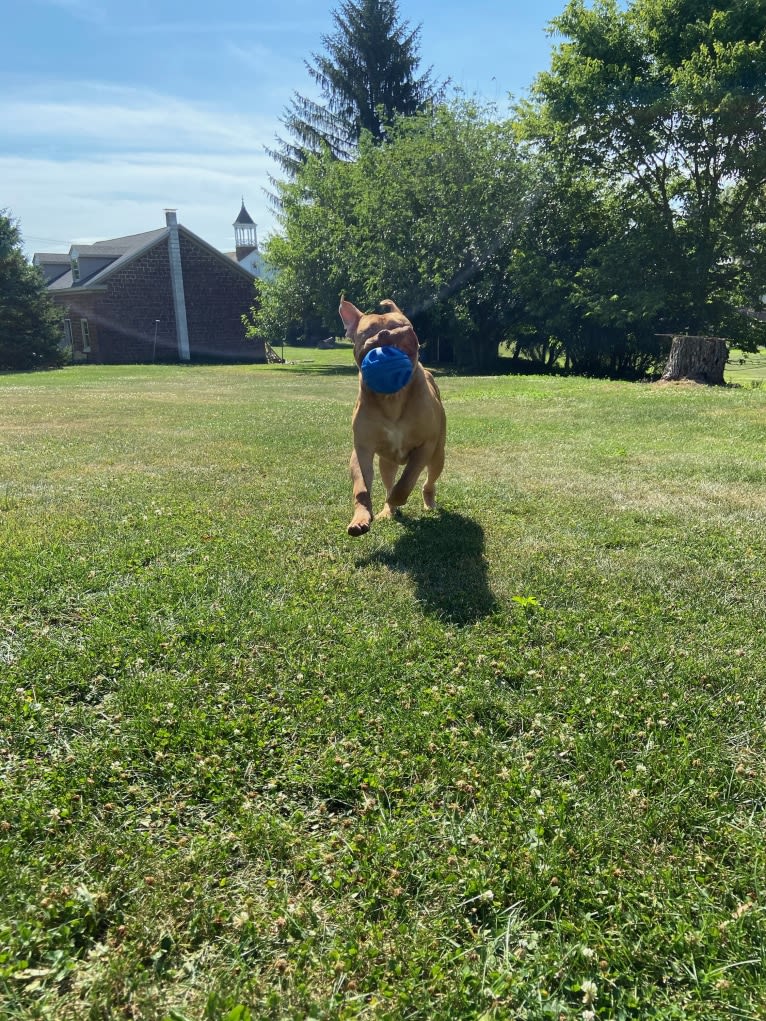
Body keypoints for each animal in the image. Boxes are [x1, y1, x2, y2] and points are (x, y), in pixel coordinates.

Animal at [339, 298, 447, 539]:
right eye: (368, 331)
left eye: (400, 326)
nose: (385, 334)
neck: (392, 398)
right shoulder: (362, 448)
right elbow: (361, 487)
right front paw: (361, 518)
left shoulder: (425, 445)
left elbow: (408, 479)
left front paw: (398, 497)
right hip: (386, 463)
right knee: (389, 480)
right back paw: (388, 510)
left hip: (438, 455)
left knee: (429, 481)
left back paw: (427, 502)